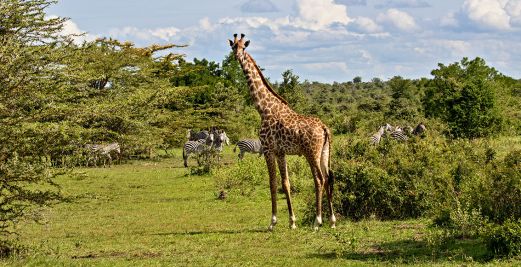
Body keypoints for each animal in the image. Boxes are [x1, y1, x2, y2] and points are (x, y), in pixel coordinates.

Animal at [229, 33, 336, 230]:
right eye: (233, 46)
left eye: (243, 47)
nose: (237, 57)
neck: (263, 109)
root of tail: (324, 128)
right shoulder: (281, 152)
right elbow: (285, 183)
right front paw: (292, 222)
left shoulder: (268, 149)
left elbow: (272, 183)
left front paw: (272, 222)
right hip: (325, 151)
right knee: (328, 177)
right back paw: (332, 220)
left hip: (311, 152)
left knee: (319, 179)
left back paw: (317, 221)